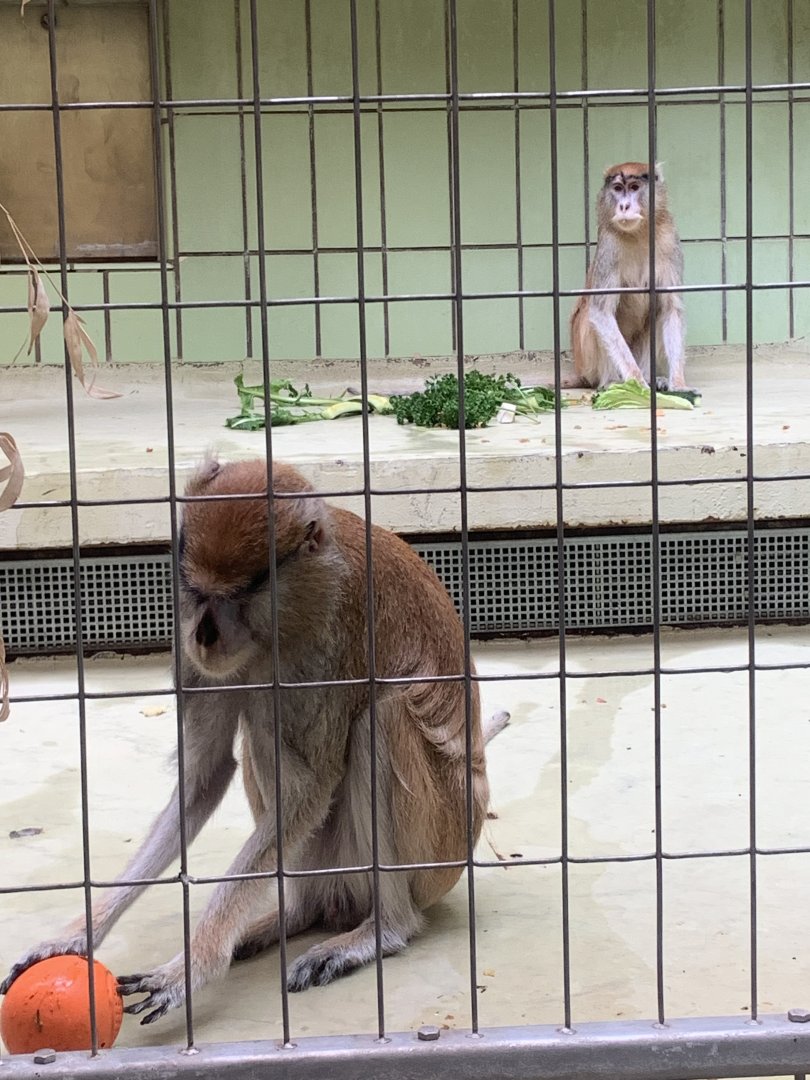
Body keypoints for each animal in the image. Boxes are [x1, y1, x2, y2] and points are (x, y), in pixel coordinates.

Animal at [1, 458, 509, 1024]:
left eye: (241, 594)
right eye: (199, 593)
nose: (205, 636)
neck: (299, 595)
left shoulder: (329, 641)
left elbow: (311, 787)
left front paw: (189, 968)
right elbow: (206, 775)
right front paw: (76, 935)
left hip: (441, 847)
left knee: (378, 718)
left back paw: (382, 929)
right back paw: (293, 915)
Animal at [566, 162, 690, 392]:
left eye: (634, 187)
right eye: (617, 189)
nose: (623, 206)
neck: (639, 233)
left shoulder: (670, 240)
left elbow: (670, 309)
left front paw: (677, 383)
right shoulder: (609, 246)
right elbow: (601, 312)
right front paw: (637, 381)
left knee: (657, 312)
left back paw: (652, 377)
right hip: (587, 362)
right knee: (589, 315)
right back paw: (611, 382)